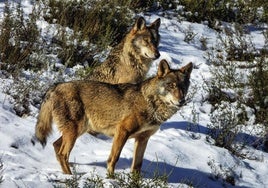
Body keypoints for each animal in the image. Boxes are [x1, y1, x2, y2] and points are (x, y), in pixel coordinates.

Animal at [33, 59, 193, 176]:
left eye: (183, 87)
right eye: (171, 85)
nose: (181, 101)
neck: (151, 103)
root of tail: (55, 86)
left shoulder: (143, 139)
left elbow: (137, 165)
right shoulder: (122, 131)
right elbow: (114, 158)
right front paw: (111, 178)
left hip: (77, 131)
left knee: (56, 146)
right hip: (74, 132)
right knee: (62, 153)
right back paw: (70, 177)